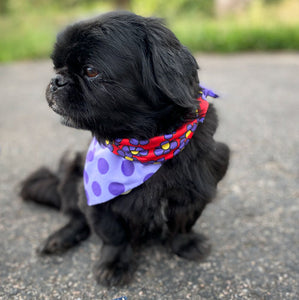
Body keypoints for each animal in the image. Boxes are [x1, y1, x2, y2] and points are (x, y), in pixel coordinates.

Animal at [19, 11, 231, 286]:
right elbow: (113, 234)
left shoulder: (199, 186)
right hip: (71, 167)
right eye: (57, 67)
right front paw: (115, 263)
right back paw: (61, 237)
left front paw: (185, 245)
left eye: (91, 71)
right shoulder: (95, 199)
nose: (56, 80)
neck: (144, 146)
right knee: (77, 218)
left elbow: (182, 223)